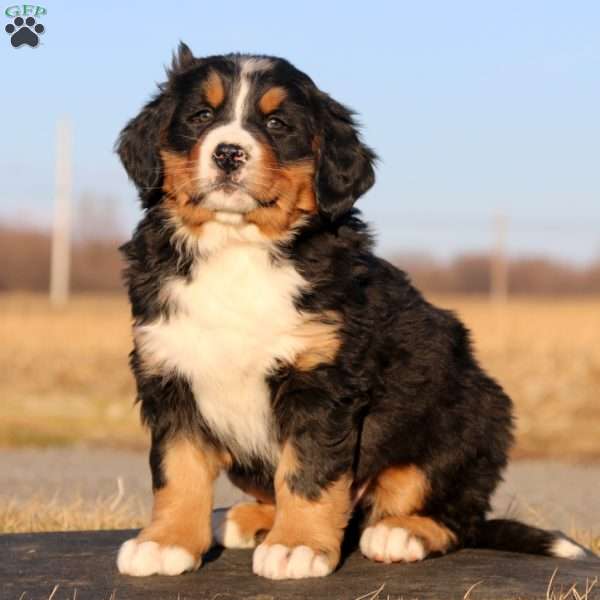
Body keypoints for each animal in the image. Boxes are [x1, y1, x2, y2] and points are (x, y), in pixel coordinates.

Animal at [115, 44, 584, 580]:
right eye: (200, 116)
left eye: (277, 123)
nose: (228, 152)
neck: (238, 246)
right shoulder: (169, 370)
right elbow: (177, 470)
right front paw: (166, 542)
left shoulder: (323, 381)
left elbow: (308, 471)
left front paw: (297, 546)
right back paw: (241, 518)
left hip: (470, 412)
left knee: (452, 514)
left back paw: (400, 532)